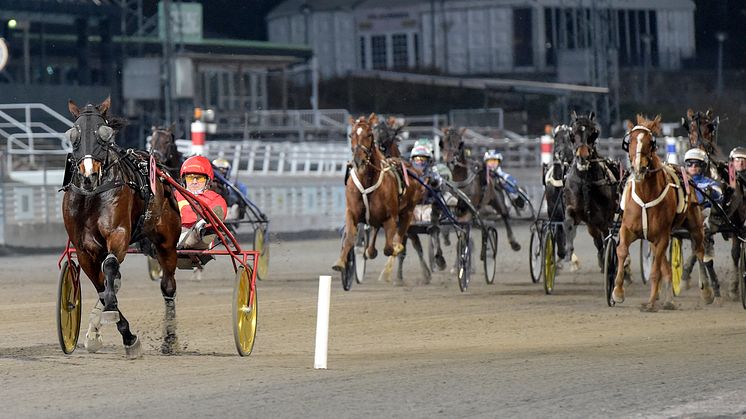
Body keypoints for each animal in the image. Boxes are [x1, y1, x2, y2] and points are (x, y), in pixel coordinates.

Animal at [61, 98, 181, 358]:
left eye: (104, 134)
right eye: (74, 134)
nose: (89, 175)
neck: (92, 195)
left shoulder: (118, 235)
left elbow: (110, 266)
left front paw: (119, 326)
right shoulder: (84, 250)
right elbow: (102, 288)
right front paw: (121, 333)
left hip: (166, 241)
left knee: (168, 286)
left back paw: (170, 339)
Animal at [332, 114, 422, 286]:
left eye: (369, 134)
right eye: (350, 135)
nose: (358, 160)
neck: (367, 180)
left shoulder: (390, 217)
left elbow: (388, 248)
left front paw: (393, 251)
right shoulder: (352, 213)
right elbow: (350, 237)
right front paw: (341, 262)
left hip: (408, 211)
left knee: (399, 236)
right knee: (374, 232)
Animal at [560, 110, 620, 270]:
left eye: (594, 133)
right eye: (572, 133)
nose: (583, 157)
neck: (585, 183)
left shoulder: (605, 218)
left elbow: (607, 237)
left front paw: (609, 261)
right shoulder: (575, 209)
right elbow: (568, 220)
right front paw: (569, 254)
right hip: (591, 224)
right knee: (597, 240)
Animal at [612, 115, 708, 312]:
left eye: (650, 142)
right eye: (630, 141)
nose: (639, 168)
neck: (646, 194)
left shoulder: (662, 235)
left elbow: (655, 271)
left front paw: (650, 302)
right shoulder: (628, 229)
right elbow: (622, 251)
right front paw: (617, 292)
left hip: (694, 226)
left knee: (699, 251)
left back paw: (706, 292)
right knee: (666, 265)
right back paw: (668, 299)